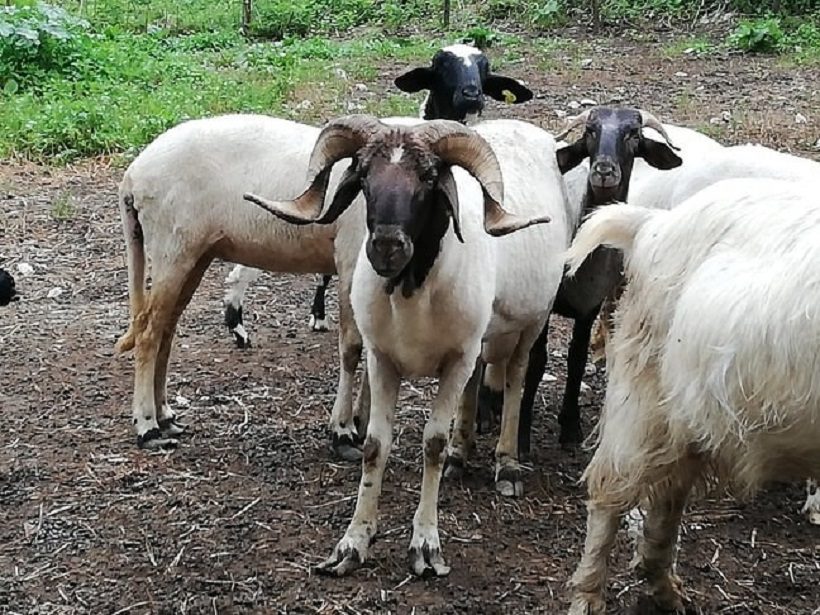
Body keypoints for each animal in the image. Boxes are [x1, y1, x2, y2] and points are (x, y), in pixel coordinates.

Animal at [115, 113, 368, 454]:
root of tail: (134, 174)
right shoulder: (352, 260)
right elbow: (353, 348)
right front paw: (344, 431)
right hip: (171, 249)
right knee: (148, 333)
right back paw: (148, 427)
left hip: (195, 255)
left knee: (165, 331)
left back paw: (165, 416)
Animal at [245, 115, 572, 576]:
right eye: (363, 174)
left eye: (429, 177)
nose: (386, 246)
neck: (413, 295)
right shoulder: (383, 359)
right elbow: (374, 446)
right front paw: (352, 543)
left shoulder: (455, 361)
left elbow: (431, 444)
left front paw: (426, 547)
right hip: (479, 337)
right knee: (477, 384)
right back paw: (460, 454)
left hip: (531, 322)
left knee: (515, 380)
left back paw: (506, 464)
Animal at [564, 176, 820, 612]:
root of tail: (652, 224)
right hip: (644, 395)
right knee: (610, 491)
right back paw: (589, 596)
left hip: (691, 415)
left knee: (669, 492)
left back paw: (663, 588)